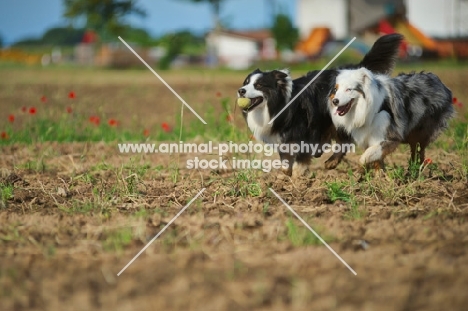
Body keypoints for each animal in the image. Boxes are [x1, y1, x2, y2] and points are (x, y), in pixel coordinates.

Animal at [239, 34, 404, 177]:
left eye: (259, 85)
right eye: (246, 83)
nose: (240, 91)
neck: (278, 106)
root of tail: (355, 71)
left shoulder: (303, 133)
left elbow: (301, 159)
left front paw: (299, 178)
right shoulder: (283, 139)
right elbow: (285, 162)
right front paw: (285, 176)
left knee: (345, 140)